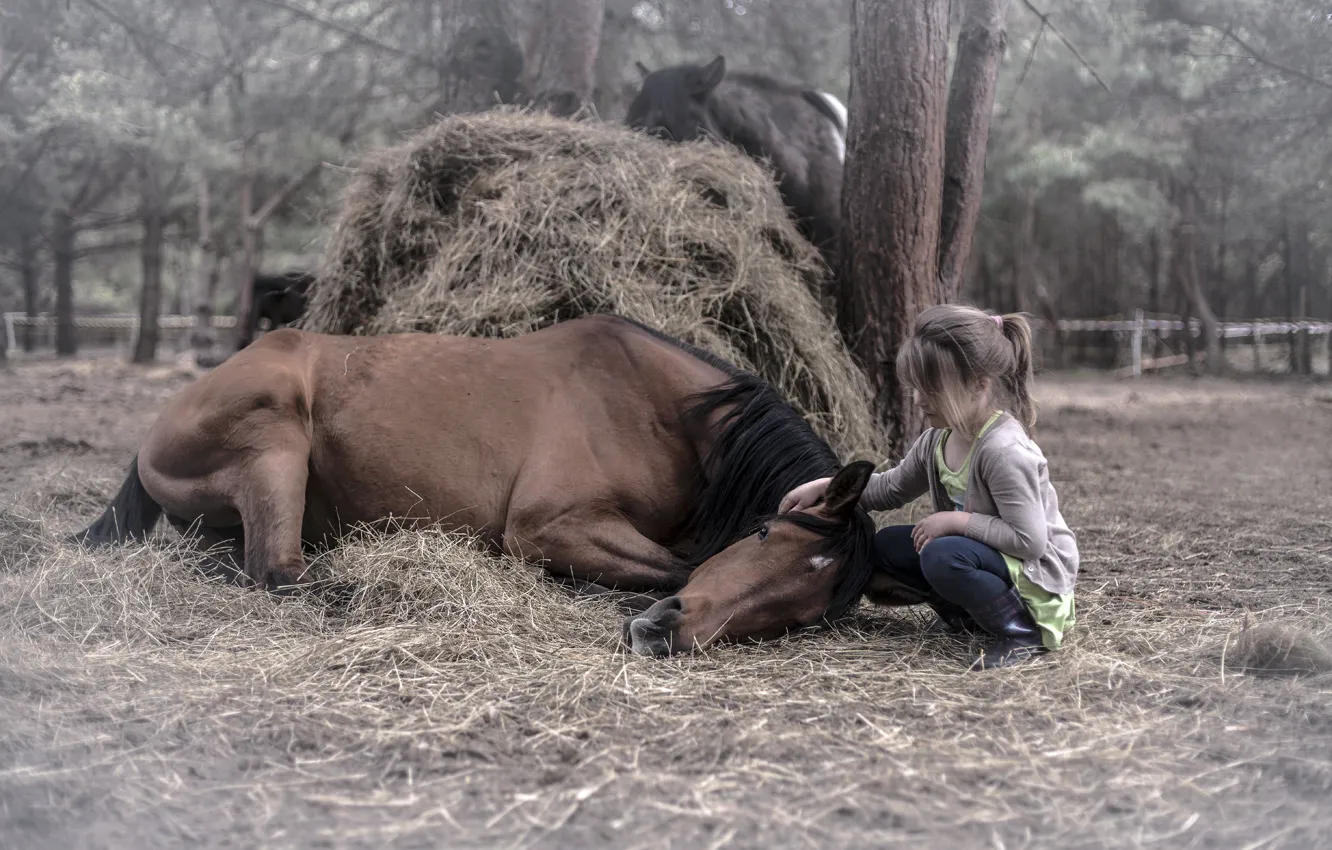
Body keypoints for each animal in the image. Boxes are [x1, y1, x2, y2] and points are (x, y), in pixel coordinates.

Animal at [72, 317, 884, 655]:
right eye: (764, 532)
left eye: (808, 611)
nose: (664, 633)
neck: (659, 410)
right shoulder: (549, 524)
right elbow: (679, 564)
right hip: (276, 441)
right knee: (277, 571)